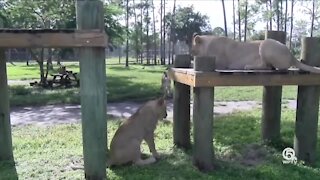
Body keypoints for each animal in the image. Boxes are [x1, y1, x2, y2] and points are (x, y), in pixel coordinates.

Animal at [190, 33, 320, 73]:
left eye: (192, 46)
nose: (190, 52)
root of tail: (292, 55)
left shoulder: (220, 63)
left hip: (265, 44)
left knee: (268, 67)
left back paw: (248, 66)